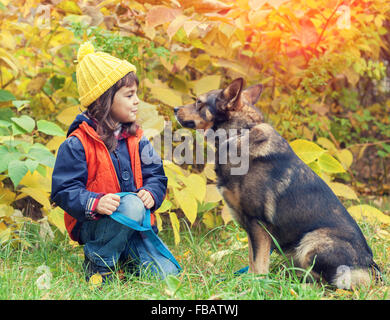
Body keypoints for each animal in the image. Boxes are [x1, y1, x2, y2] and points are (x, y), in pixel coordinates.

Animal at [175, 78, 382, 290]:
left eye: (198, 102)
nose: (175, 109)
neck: (239, 133)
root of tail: (369, 267)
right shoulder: (253, 229)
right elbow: (252, 261)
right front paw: (247, 282)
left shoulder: (258, 224)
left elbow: (259, 265)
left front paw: (255, 286)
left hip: (310, 242)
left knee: (327, 284)